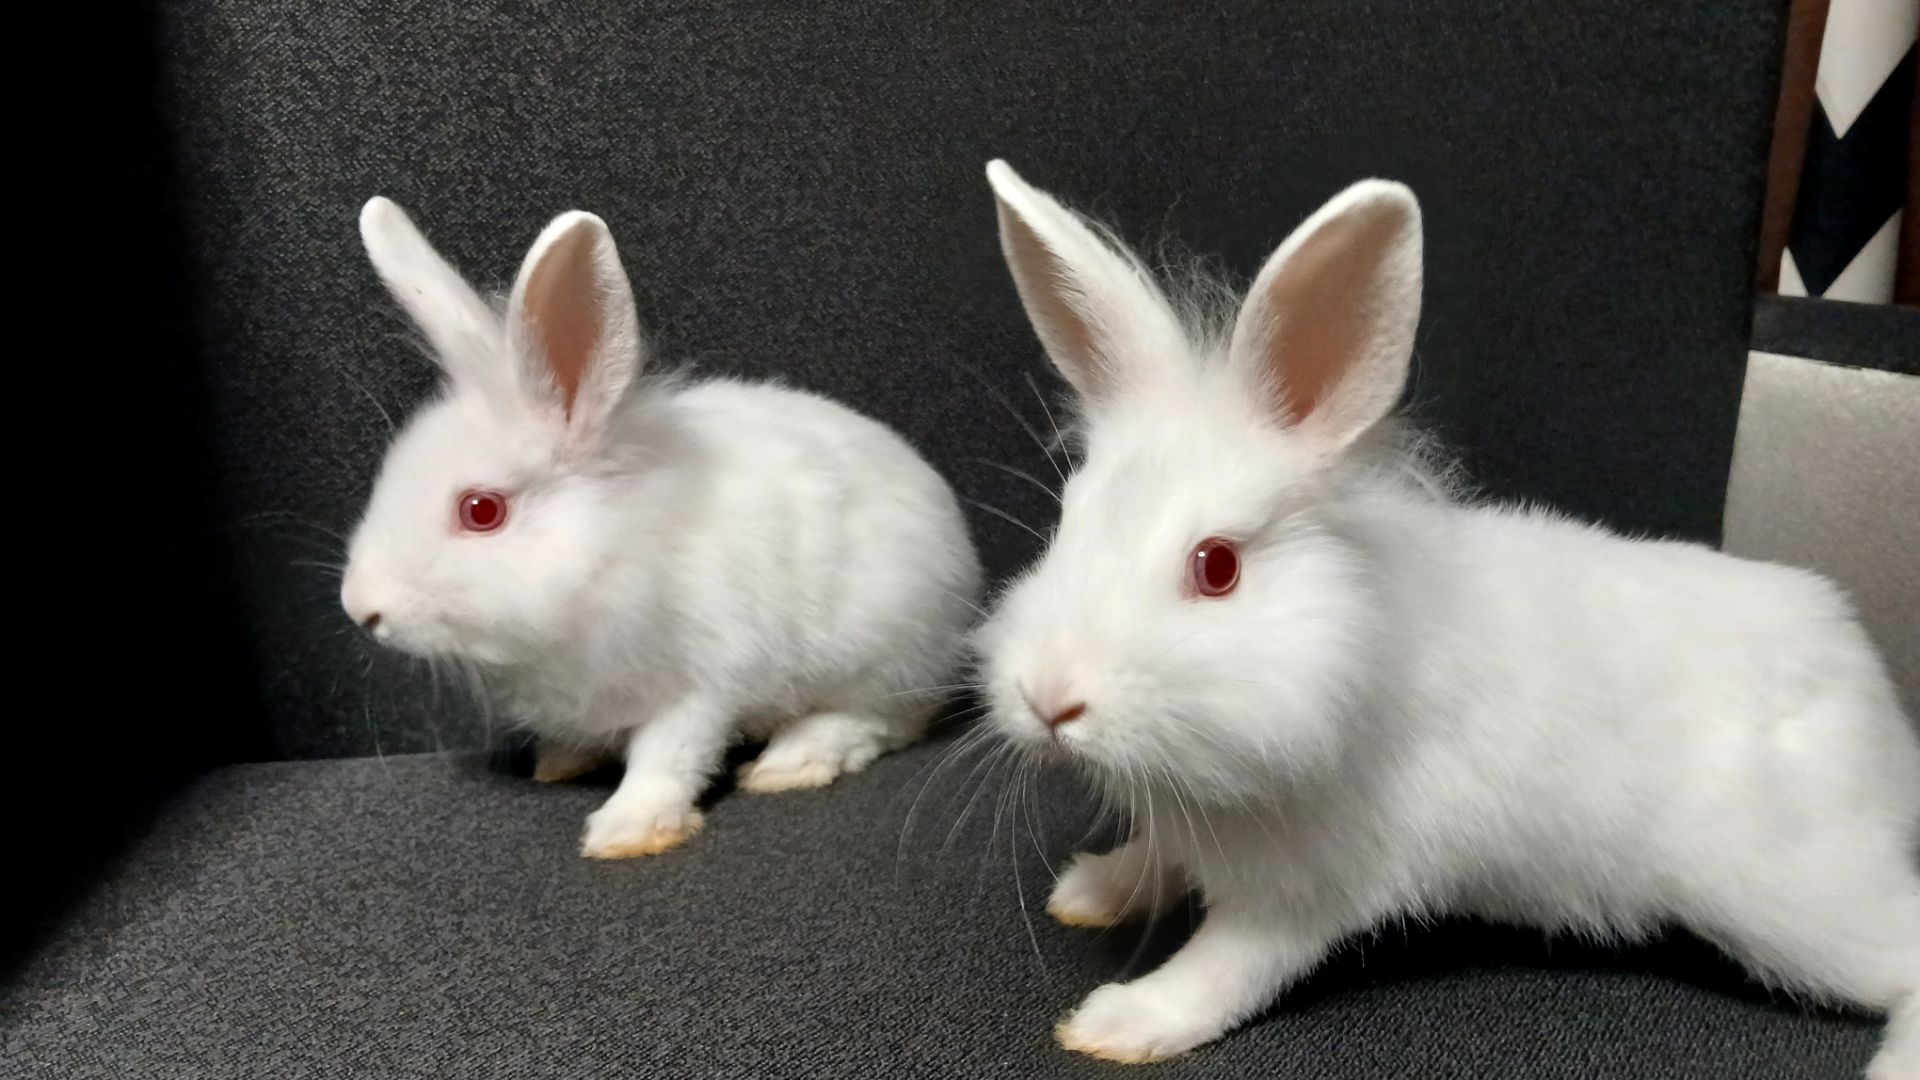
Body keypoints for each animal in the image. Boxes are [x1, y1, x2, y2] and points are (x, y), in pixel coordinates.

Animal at [341, 197, 983, 859]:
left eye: (481, 510)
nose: (360, 608)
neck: (607, 552)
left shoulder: (698, 686)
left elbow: (667, 760)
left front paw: (626, 832)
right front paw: (561, 761)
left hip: (882, 656)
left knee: (880, 722)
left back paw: (790, 764)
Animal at [973, 160, 1920, 1077]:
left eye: (1217, 567)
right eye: (1067, 521)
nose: (1049, 699)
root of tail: (1881, 718)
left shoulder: (1307, 890)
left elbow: (1224, 971)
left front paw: (1120, 1022)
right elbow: (1157, 857)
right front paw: (1092, 890)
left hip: (1791, 898)